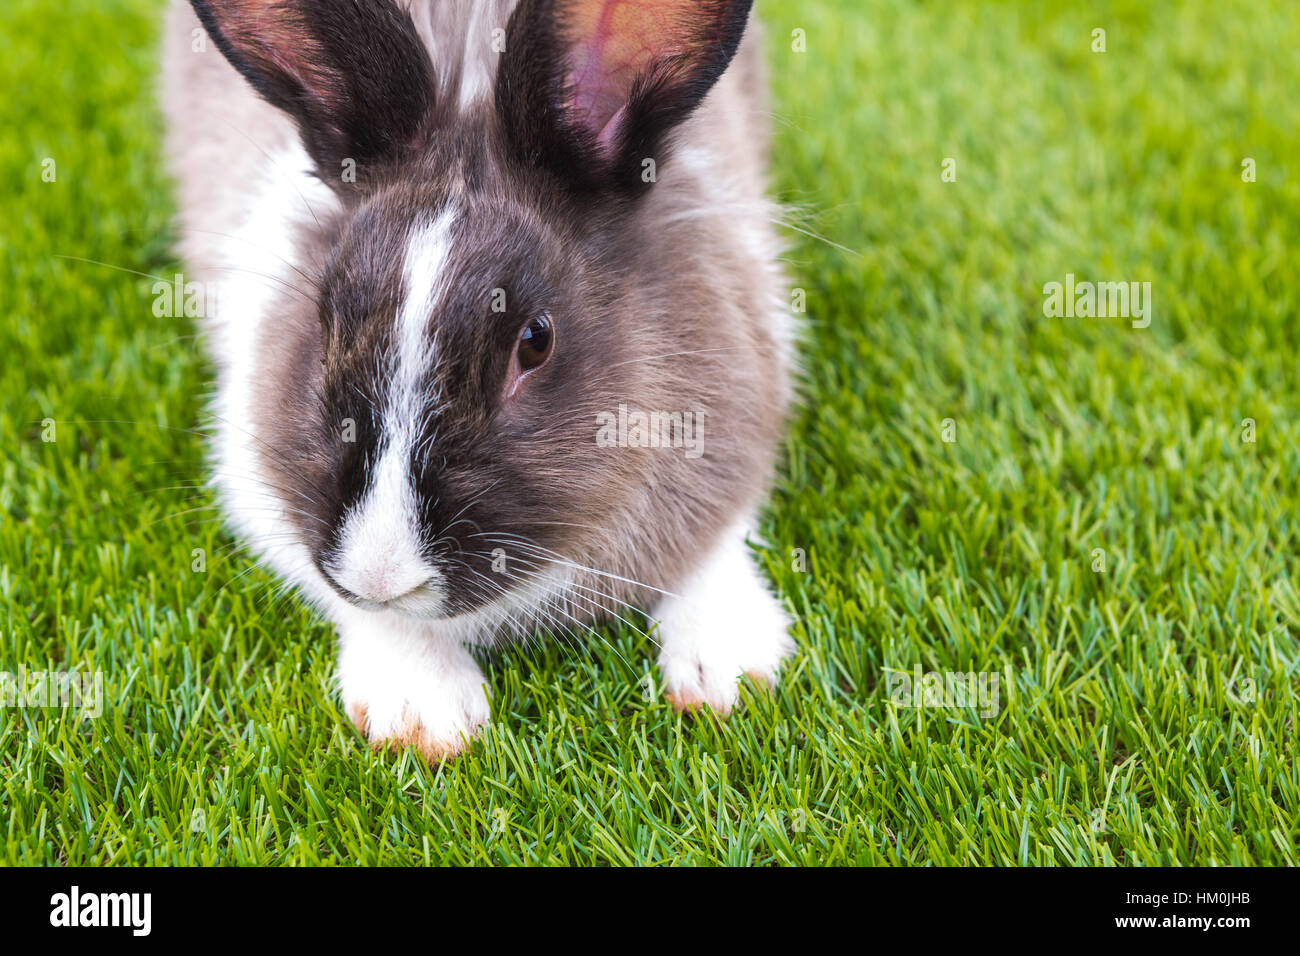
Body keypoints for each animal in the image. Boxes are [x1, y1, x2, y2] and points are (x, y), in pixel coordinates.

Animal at [160, 0, 796, 761]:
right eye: (326, 312)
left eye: (535, 340)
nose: (381, 575)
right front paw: (423, 715)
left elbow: (718, 540)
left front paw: (727, 671)